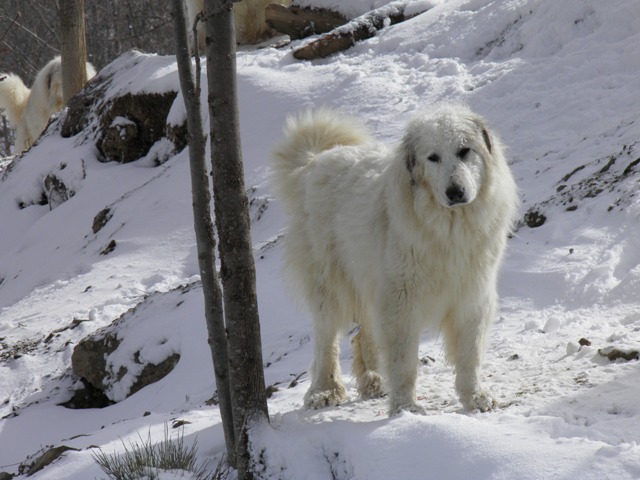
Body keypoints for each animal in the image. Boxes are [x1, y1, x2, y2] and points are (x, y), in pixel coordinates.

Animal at [272, 105, 520, 416]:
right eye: (433, 157)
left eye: (465, 151)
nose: (455, 192)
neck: (449, 227)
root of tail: (316, 160)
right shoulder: (402, 298)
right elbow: (403, 360)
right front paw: (405, 407)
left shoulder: (472, 294)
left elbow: (469, 353)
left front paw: (475, 397)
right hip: (330, 283)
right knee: (326, 339)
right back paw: (325, 391)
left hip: (368, 279)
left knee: (363, 332)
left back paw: (373, 380)